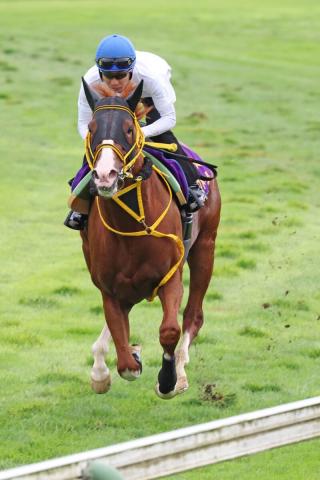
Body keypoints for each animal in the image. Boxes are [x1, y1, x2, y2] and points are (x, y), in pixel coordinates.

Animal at [79, 79, 220, 400]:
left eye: (129, 129)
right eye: (92, 127)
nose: (105, 175)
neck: (133, 225)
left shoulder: (171, 276)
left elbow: (169, 330)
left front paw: (167, 381)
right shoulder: (109, 288)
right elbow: (124, 358)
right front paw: (115, 364)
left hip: (205, 248)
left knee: (193, 315)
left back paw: (180, 371)